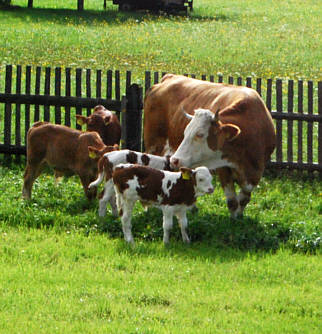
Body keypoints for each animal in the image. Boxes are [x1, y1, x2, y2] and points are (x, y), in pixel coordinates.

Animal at [144, 74, 276, 218]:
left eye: (200, 134)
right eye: (186, 132)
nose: (175, 160)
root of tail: (168, 77)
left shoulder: (256, 173)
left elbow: (244, 199)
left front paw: (239, 217)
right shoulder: (223, 169)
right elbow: (232, 202)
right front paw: (233, 220)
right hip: (153, 145)